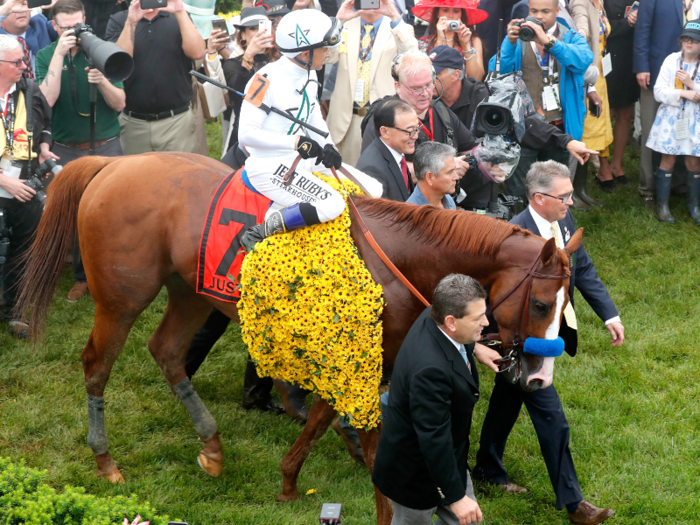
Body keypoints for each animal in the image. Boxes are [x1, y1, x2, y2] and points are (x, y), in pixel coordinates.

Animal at [19, 151, 584, 524]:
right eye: (540, 304)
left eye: (566, 306)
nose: (539, 377)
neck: (396, 259)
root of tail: (113, 163)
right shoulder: (363, 360)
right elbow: (367, 441)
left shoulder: (355, 356)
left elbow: (319, 418)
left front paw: (290, 481)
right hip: (121, 298)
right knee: (96, 364)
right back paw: (105, 460)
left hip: (189, 290)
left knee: (167, 352)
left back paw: (212, 446)